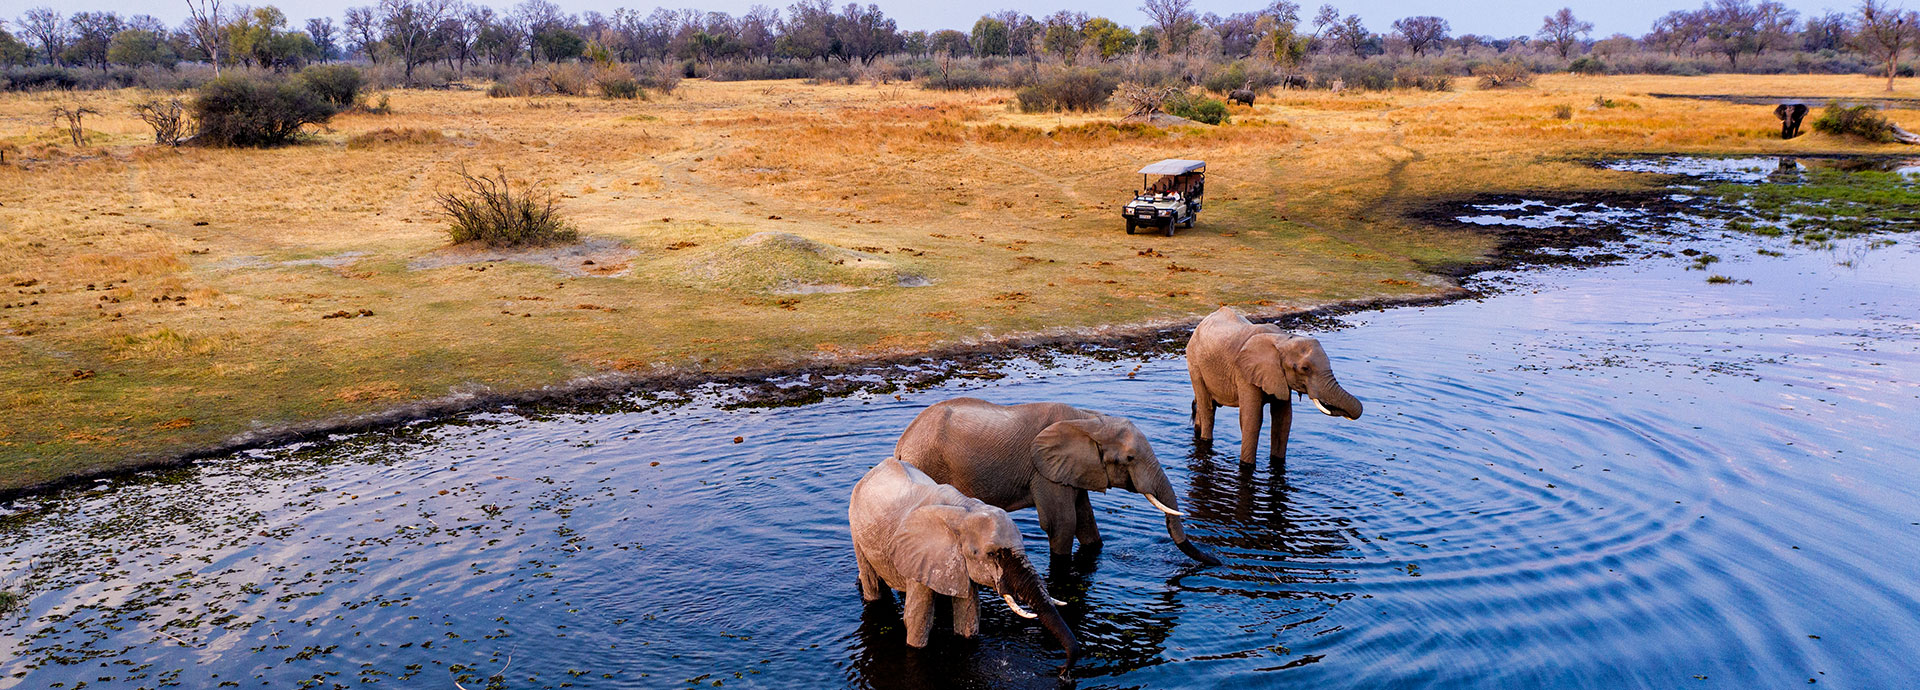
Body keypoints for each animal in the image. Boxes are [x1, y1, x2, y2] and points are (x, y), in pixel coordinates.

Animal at [849, 457, 1079, 671]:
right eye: (992, 554)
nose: (1061, 670)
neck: (964, 510)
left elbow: (969, 615)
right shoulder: (919, 553)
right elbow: (917, 620)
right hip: (855, 523)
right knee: (871, 583)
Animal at [896, 397, 1221, 566]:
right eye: (1129, 458)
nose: (1217, 561)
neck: (1088, 419)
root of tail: (902, 444)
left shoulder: (1073, 470)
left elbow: (1085, 520)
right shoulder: (1044, 472)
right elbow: (1062, 523)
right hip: (927, 464)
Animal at [1187, 306, 1363, 465]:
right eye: (1305, 369)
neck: (1283, 339)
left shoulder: (1280, 379)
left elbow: (1283, 419)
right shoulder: (1245, 373)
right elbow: (1252, 419)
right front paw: (1246, 465)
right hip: (1194, 363)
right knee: (1207, 407)